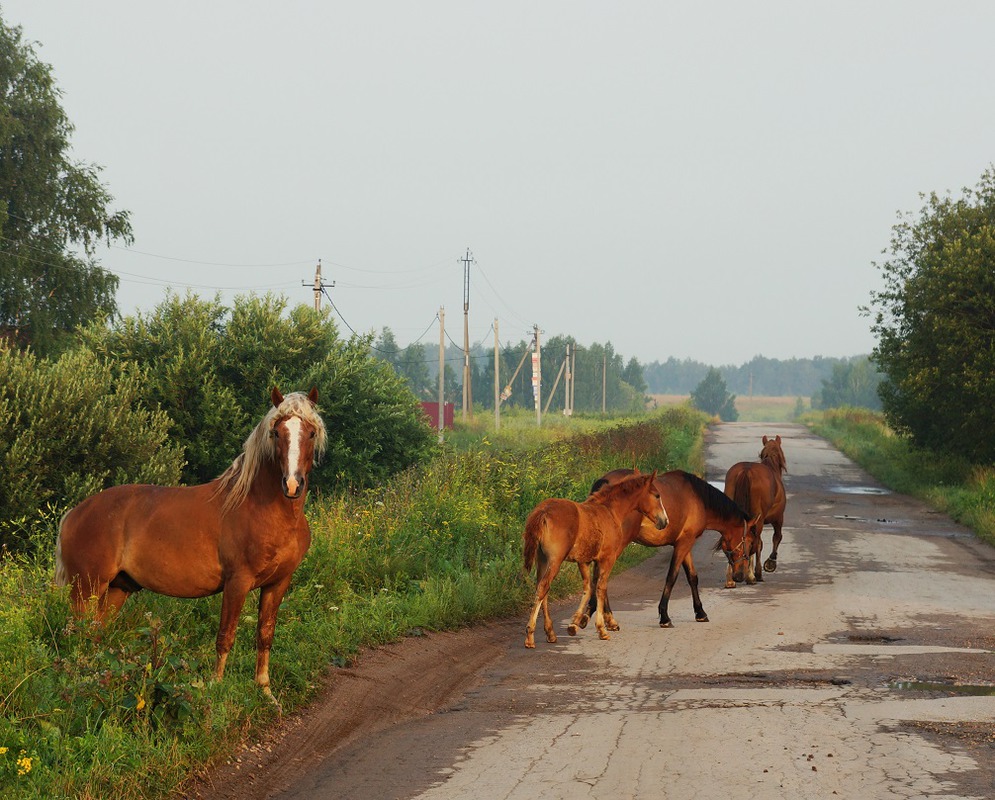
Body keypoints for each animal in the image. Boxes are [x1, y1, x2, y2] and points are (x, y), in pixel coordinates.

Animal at [53, 384, 326, 704]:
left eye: (311, 432)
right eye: (276, 432)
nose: (292, 485)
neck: (263, 509)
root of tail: (74, 513)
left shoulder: (278, 583)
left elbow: (265, 635)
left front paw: (265, 691)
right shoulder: (237, 582)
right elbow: (225, 636)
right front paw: (216, 687)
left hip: (117, 589)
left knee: (97, 634)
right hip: (86, 589)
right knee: (81, 635)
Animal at [520, 468, 668, 648]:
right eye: (657, 495)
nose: (665, 521)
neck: (610, 512)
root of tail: (543, 511)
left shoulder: (584, 561)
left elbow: (588, 587)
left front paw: (575, 623)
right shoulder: (607, 559)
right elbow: (600, 588)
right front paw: (601, 629)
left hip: (542, 559)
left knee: (542, 589)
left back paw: (550, 633)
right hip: (555, 560)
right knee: (543, 587)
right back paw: (530, 636)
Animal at [584, 468, 756, 632]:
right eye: (749, 542)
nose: (740, 575)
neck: (699, 499)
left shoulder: (684, 543)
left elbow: (692, 577)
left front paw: (700, 612)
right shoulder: (684, 543)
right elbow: (672, 577)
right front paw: (665, 617)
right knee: (602, 577)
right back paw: (604, 617)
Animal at [724, 432, 784, 580]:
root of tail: (746, 470)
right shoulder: (778, 518)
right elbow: (776, 537)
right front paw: (769, 564)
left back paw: (731, 578)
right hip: (760, 519)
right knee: (757, 541)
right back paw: (753, 575)